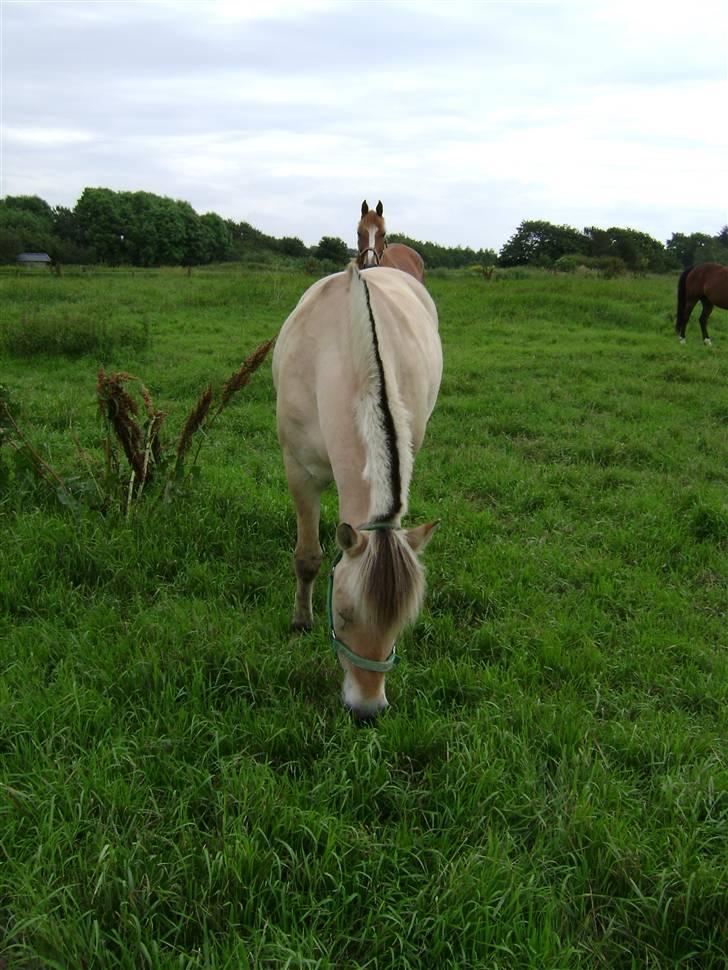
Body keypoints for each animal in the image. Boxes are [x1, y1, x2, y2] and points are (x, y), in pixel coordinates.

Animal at [272, 260, 440, 720]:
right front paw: (300, 622)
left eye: (401, 623)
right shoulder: (298, 471)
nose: (367, 710)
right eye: (343, 614)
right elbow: (308, 558)